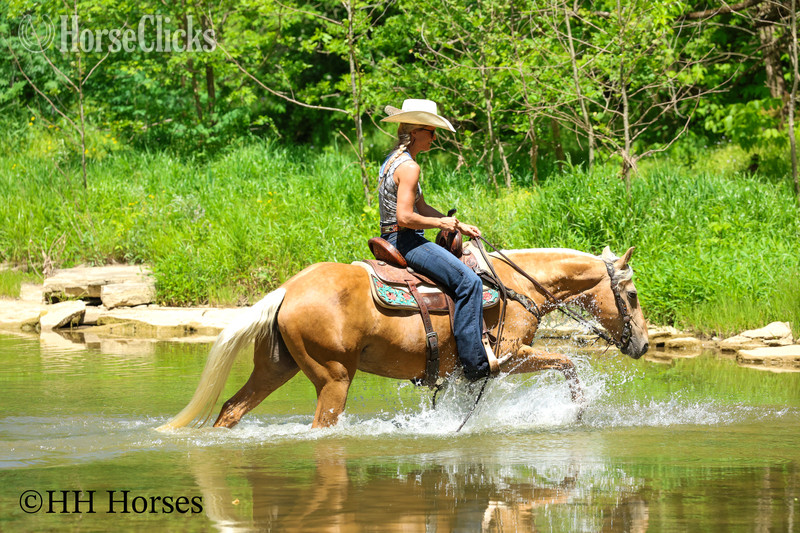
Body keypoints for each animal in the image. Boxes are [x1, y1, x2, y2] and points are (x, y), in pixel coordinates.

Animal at [157, 245, 648, 430]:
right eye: (632, 295)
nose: (643, 345)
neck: (515, 287)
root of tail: (288, 290)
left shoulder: (463, 375)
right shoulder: (509, 357)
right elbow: (569, 363)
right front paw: (577, 412)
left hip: (276, 368)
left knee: (231, 409)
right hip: (333, 378)